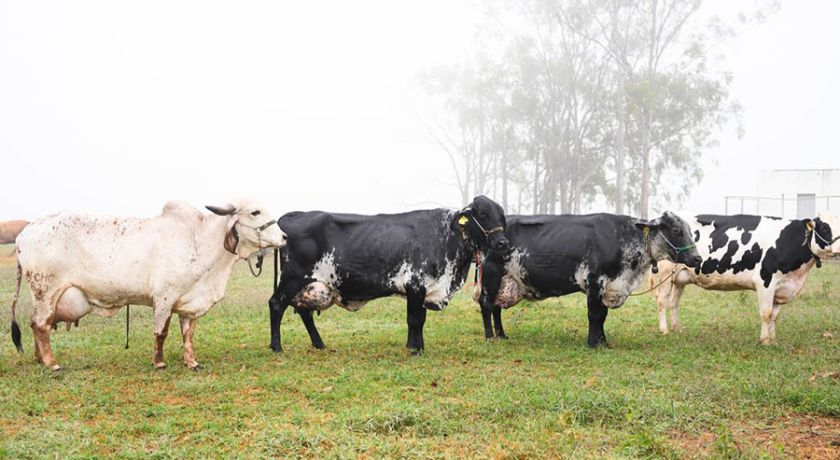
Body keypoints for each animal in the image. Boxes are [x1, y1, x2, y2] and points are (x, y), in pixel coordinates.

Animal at [10, 199, 286, 370]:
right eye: (255, 212)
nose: (284, 237)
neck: (198, 239)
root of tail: (25, 233)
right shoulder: (164, 298)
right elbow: (160, 332)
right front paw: (159, 362)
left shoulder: (188, 302)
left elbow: (188, 335)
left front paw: (192, 362)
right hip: (46, 292)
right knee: (41, 325)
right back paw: (52, 363)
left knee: (35, 324)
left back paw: (40, 359)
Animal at [266, 196, 508, 354]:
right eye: (482, 214)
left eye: (502, 216)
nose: (502, 243)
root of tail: (293, 216)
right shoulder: (415, 284)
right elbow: (414, 319)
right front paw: (414, 349)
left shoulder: (423, 288)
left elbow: (420, 319)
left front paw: (418, 346)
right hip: (293, 278)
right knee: (276, 304)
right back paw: (277, 347)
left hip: (308, 284)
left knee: (304, 312)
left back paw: (319, 344)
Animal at [472, 212, 704, 348]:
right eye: (676, 230)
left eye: (690, 231)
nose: (697, 258)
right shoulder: (594, 281)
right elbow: (594, 314)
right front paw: (593, 343)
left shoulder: (607, 286)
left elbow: (602, 315)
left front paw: (603, 341)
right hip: (491, 274)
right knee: (486, 304)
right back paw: (490, 337)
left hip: (504, 279)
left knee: (496, 307)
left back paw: (502, 335)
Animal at [656, 210, 840, 344]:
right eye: (824, 227)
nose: (839, 247)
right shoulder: (765, 280)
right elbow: (766, 313)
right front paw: (764, 341)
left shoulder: (781, 285)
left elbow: (774, 316)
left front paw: (773, 340)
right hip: (665, 272)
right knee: (662, 301)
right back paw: (664, 330)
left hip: (680, 278)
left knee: (674, 303)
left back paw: (677, 328)